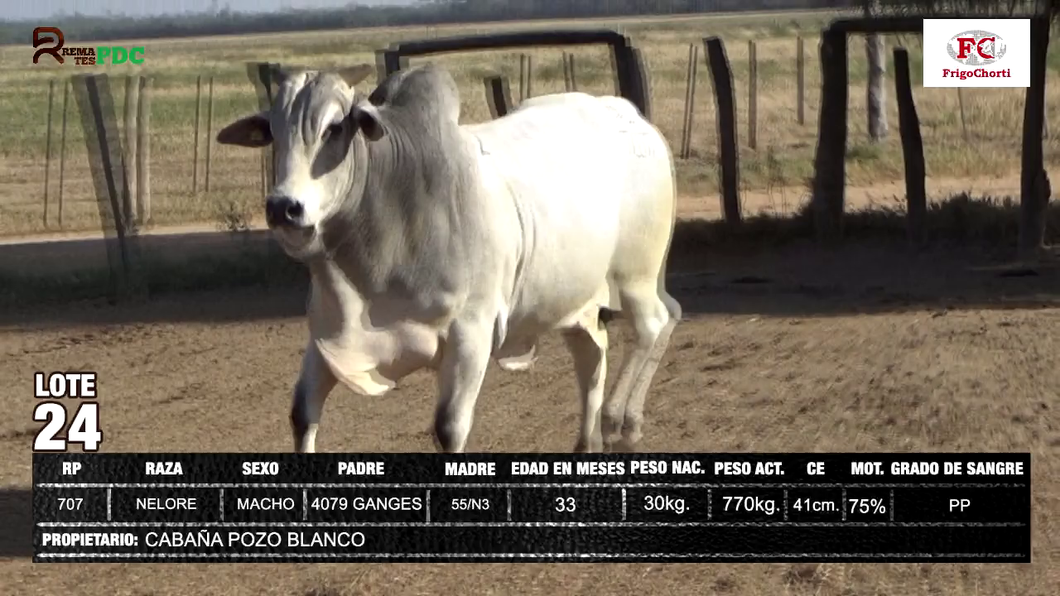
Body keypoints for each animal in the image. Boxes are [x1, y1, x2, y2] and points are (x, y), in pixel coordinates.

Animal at [217, 63, 678, 449]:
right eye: (273, 131)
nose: (283, 207)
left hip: (635, 278)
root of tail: (630, 116)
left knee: (655, 324)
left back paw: (621, 421)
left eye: (334, 128)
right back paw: (590, 442)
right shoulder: (328, 340)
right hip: (574, 302)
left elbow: (448, 429)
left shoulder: (471, 334)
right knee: (594, 357)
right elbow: (301, 416)